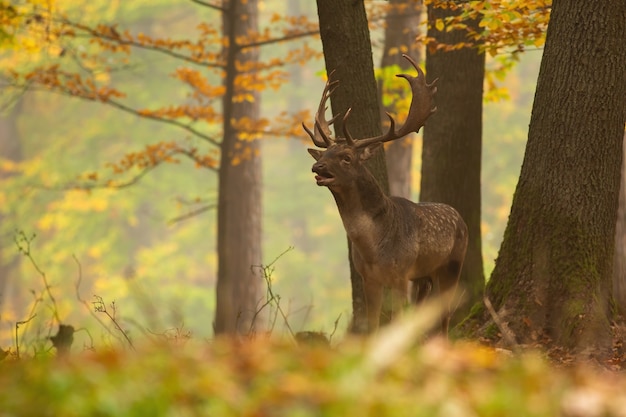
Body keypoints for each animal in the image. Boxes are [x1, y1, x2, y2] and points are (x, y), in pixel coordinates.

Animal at [302, 55, 468, 334]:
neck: (373, 248)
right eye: (324, 153)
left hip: (452, 264)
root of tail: (461, 217)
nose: (318, 167)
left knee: (445, 315)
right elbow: (373, 324)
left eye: (346, 157)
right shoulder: (369, 277)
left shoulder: (400, 273)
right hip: (423, 276)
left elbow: (397, 319)